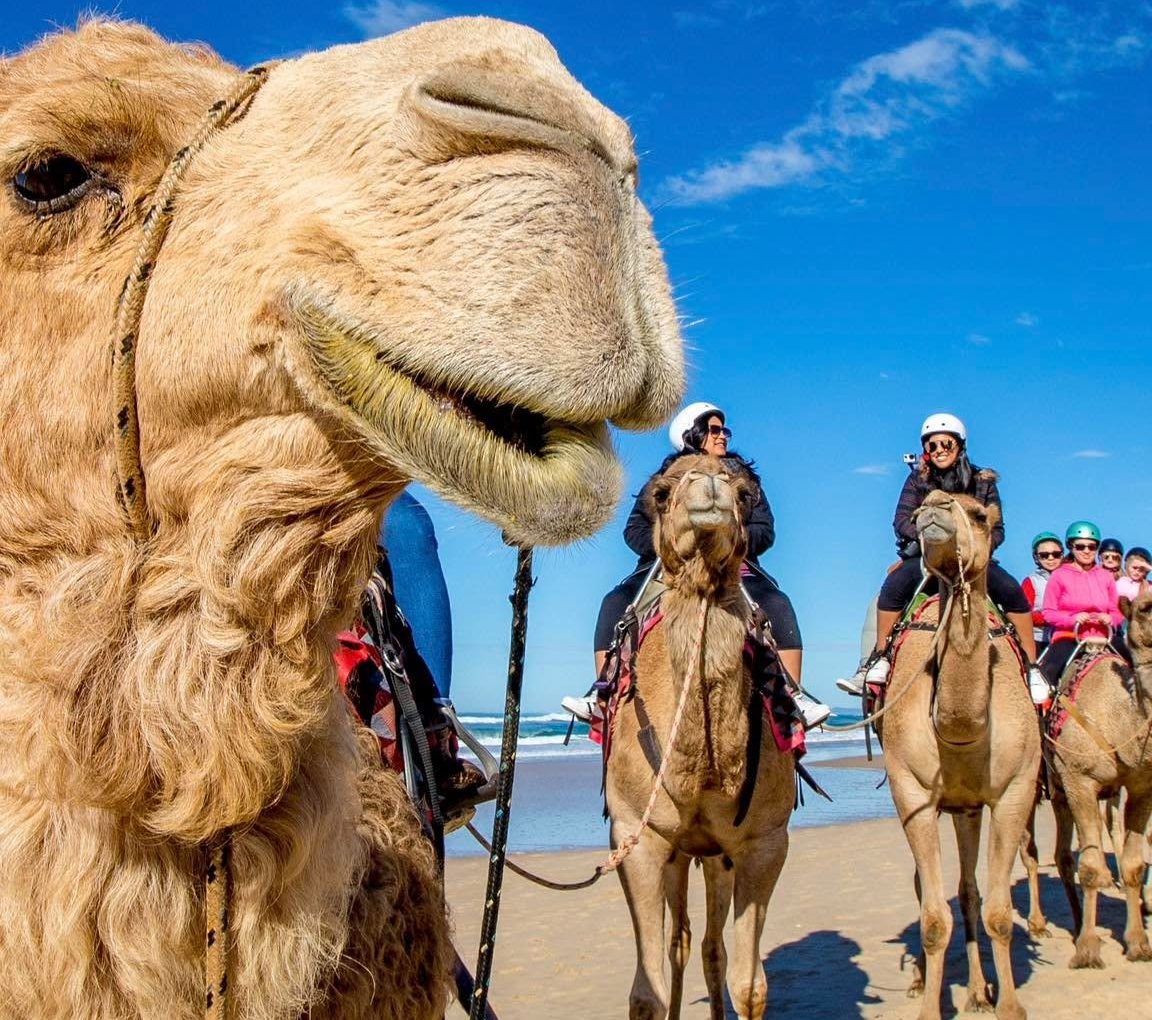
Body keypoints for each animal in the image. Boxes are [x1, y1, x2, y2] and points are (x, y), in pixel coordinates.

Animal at [605, 455, 795, 1020]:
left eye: (747, 493)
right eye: (659, 493)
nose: (709, 485)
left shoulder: (764, 843)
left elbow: (750, 984)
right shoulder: (635, 835)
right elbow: (646, 991)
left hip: (715, 856)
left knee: (710, 947)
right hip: (678, 853)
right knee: (682, 942)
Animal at [880, 491, 1040, 1020]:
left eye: (981, 515)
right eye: (917, 508)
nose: (934, 504)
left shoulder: (1014, 791)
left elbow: (998, 913)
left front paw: (1009, 1005)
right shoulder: (913, 793)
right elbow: (932, 919)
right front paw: (931, 1007)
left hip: (969, 808)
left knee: (969, 891)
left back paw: (977, 991)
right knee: (927, 890)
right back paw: (924, 982)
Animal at [1040, 591, 1152, 968]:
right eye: (1146, 607)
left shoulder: (1141, 786)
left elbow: (1133, 865)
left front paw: (1138, 944)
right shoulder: (1080, 780)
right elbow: (1088, 867)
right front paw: (1088, 950)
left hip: (1061, 794)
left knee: (1063, 855)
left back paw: (1075, 924)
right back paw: (1040, 926)